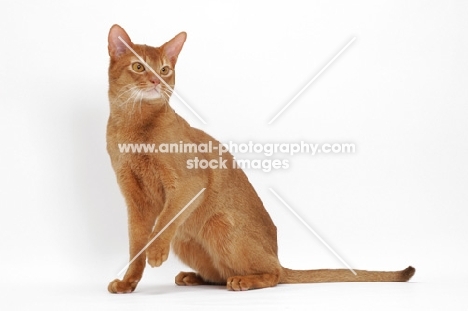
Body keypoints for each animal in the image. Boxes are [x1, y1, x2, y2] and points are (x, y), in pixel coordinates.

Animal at [105, 25, 414, 294]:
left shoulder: (189, 183)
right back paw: (195, 277)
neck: (132, 125)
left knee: (272, 275)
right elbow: (136, 246)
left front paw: (156, 253)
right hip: (186, 240)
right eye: (138, 67)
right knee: (221, 274)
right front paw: (128, 282)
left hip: (221, 224)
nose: (157, 81)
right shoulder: (134, 199)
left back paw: (244, 281)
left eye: (165, 70)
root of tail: (277, 257)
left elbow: (164, 224)